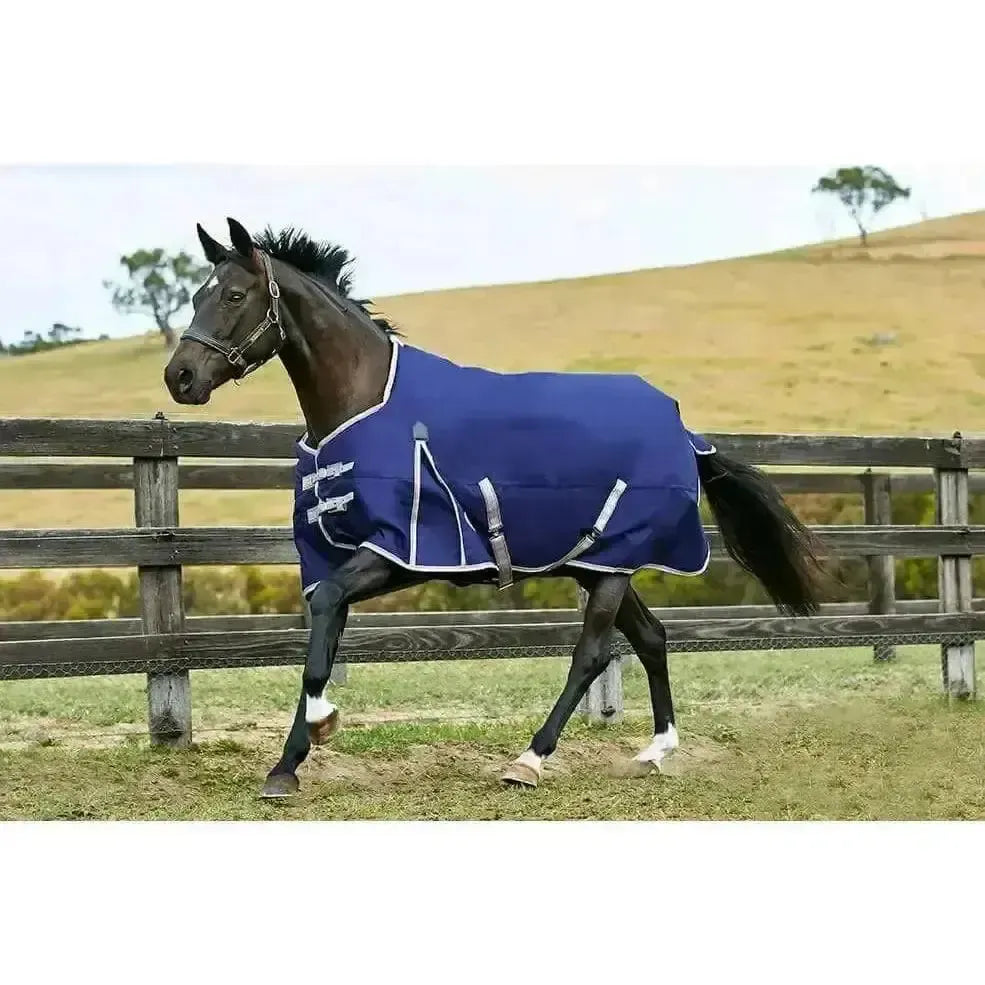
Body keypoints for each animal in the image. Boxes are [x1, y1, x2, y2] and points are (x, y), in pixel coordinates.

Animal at [164, 217, 824, 799]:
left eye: (234, 295)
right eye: (197, 295)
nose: (180, 377)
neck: (366, 403)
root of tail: (683, 430)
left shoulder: (399, 553)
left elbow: (323, 624)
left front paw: (322, 727)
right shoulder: (338, 555)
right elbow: (321, 643)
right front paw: (286, 768)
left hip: (613, 565)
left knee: (592, 653)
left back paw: (529, 760)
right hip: (598, 564)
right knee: (652, 637)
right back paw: (656, 751)